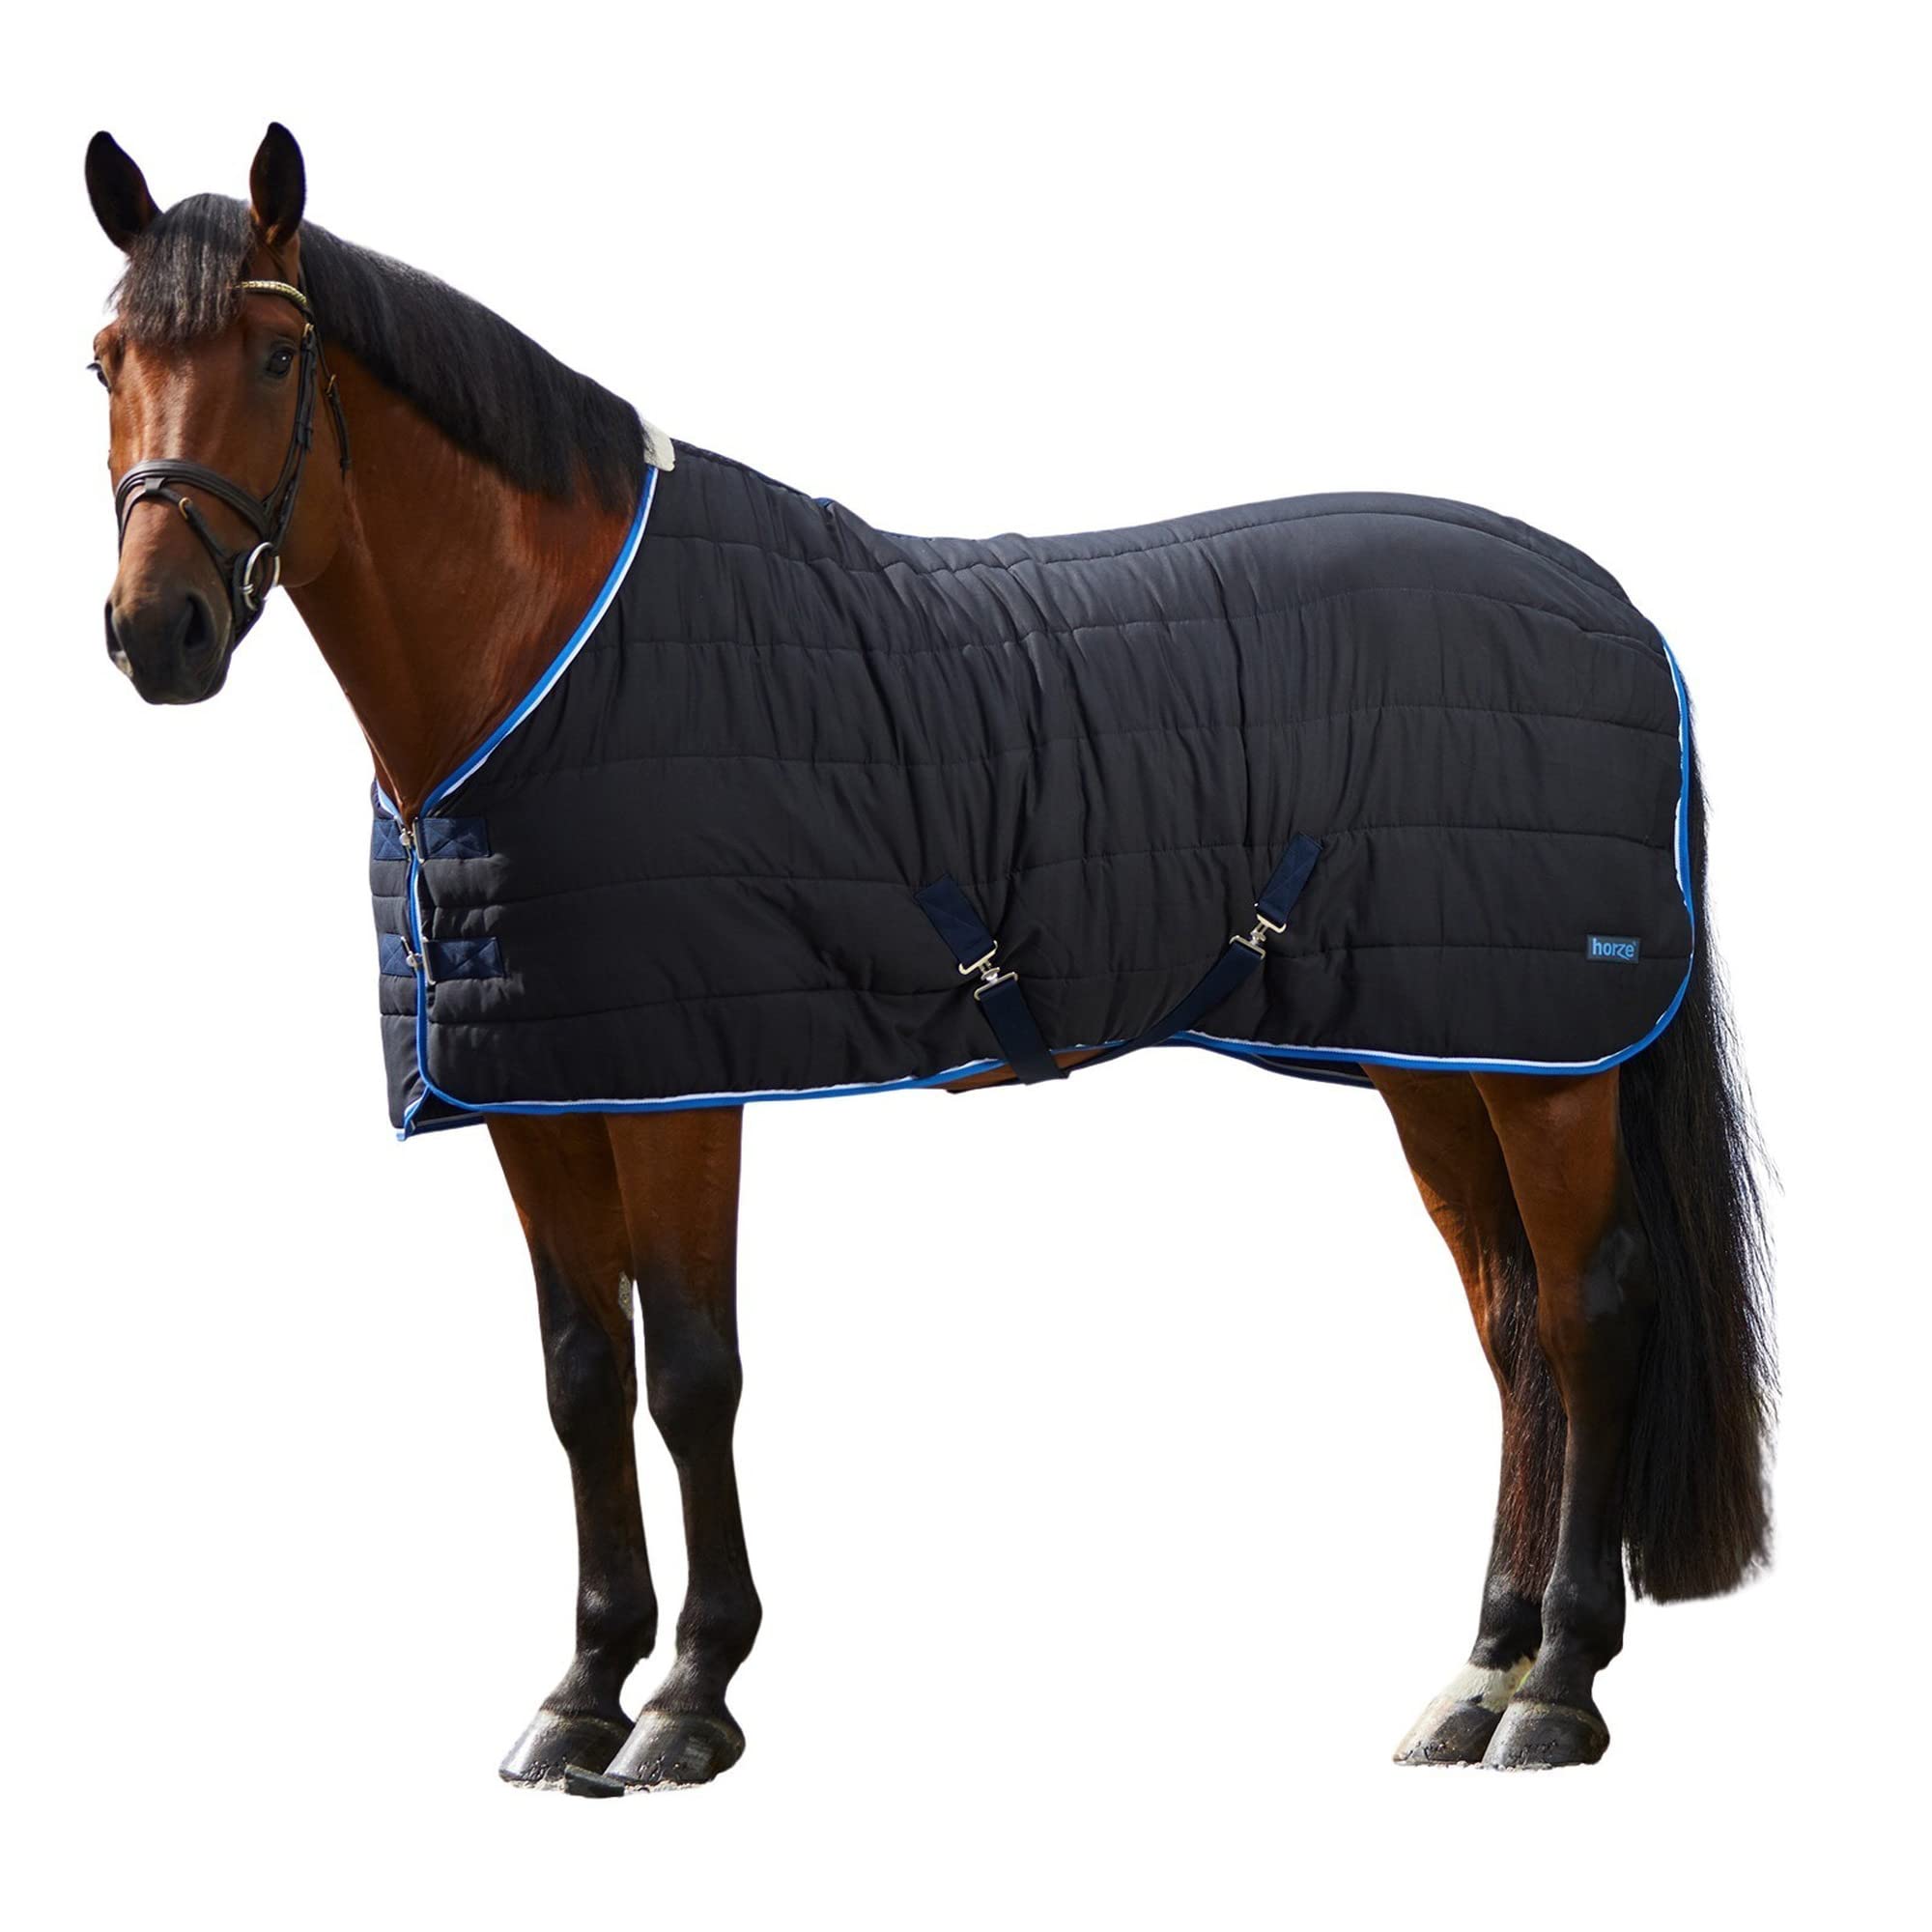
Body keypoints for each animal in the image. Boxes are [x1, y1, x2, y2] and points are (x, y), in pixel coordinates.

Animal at [83, 122, 1773, 1791]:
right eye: (105, 357)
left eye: (279, 355)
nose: (159, 631)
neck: (544, 651)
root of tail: (1619, 613)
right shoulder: (539, 1091)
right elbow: (581, 1381)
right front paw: (581, 1693)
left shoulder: (682, 1091)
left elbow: (691, 1374)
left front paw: (690, 1701)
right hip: (1442, 1051)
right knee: (1512, 1326)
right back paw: (1479, 1675)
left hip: (1543, 1063)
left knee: (1589, 1314)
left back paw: (1558, 1687)